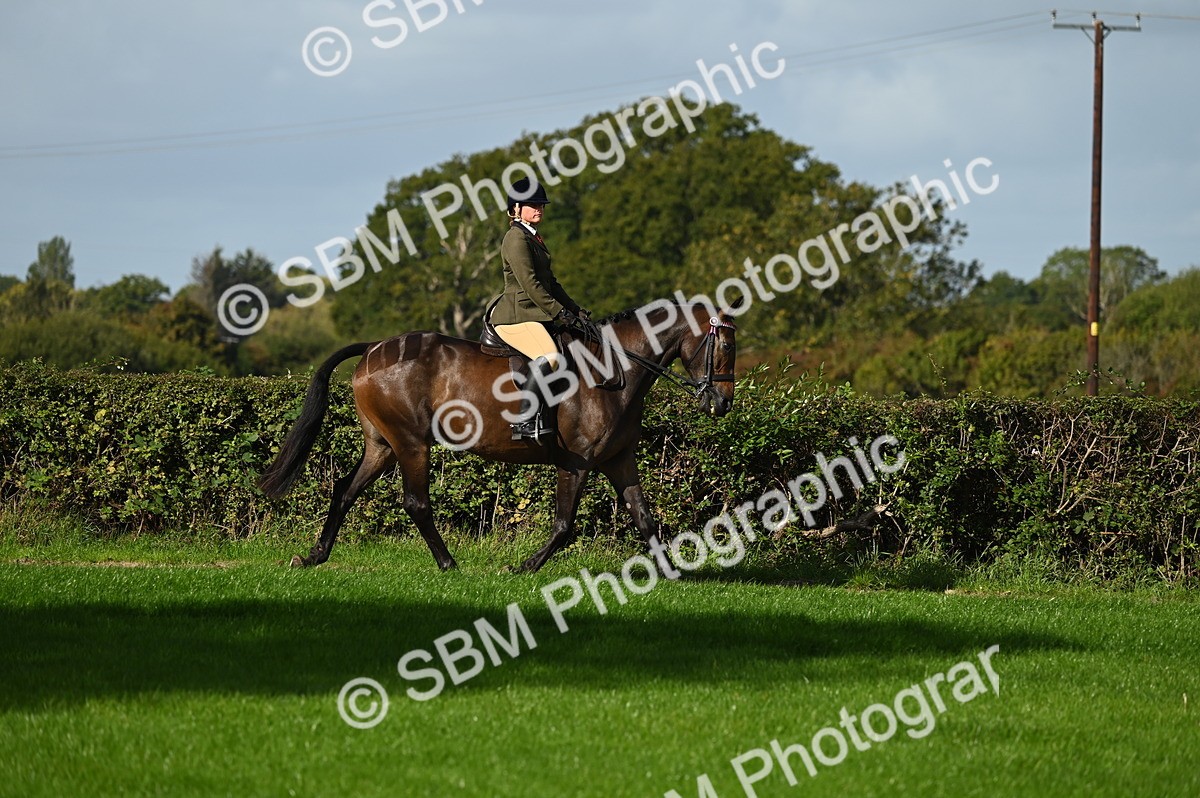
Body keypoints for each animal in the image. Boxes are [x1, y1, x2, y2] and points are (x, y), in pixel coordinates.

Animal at [256, 299, 739, 573]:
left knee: (345, 490)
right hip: (411, 444)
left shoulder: (619, 459)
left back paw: (315, 556)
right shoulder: (578, 462)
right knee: (416, 502)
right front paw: (524, 567)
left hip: (383, 446)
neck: (613, 370)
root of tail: (375, 347)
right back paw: (449, 563)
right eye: (727, 346)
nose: (722, 403)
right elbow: (564, 525)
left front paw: (670, 572)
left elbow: (644, 518)